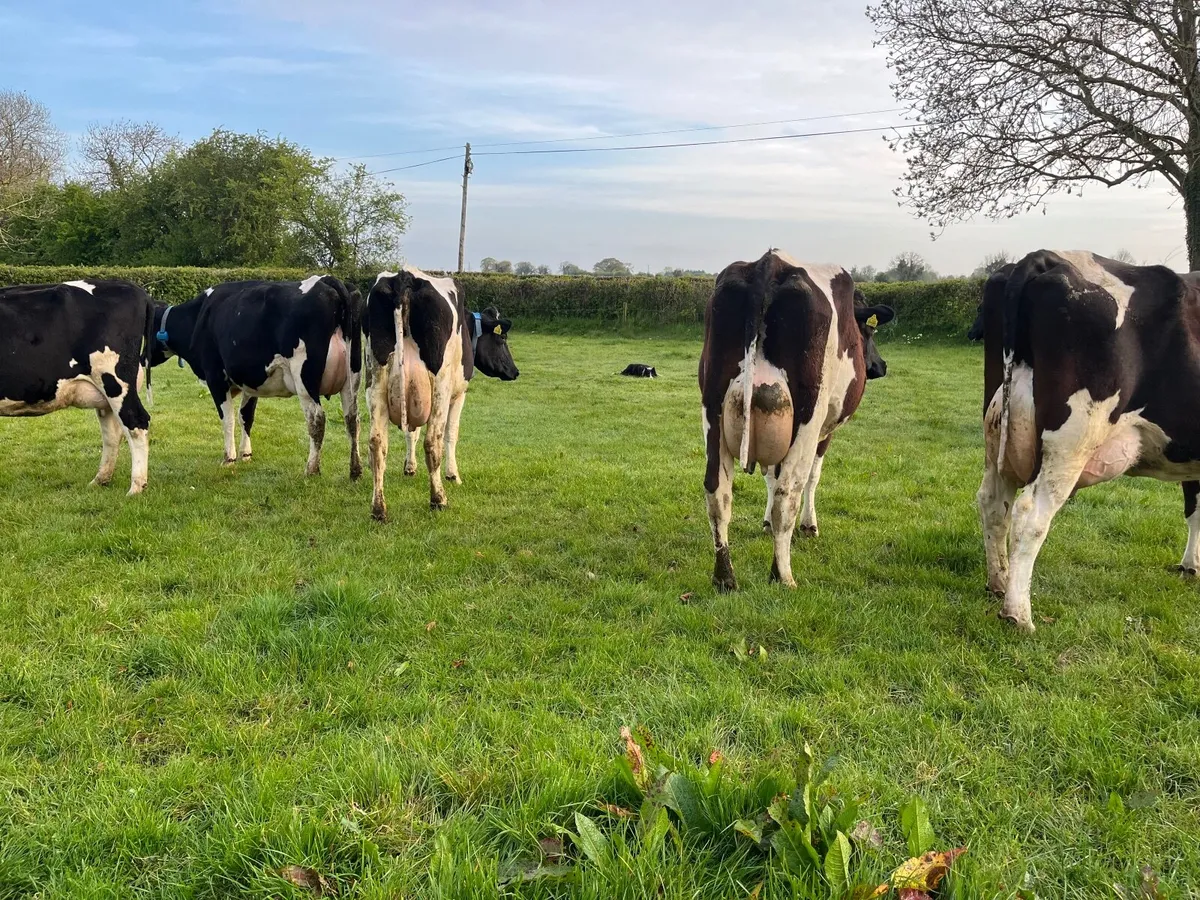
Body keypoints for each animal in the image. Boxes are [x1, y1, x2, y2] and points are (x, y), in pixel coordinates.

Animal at [0, 279, 154, 494]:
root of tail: (134, 288)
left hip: (115, 380)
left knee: (137, 423)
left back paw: (136, 488)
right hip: (106, 394)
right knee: (112, 433)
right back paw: (100, 480)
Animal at [151, 275, 362, 478]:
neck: (198, 316)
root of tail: (325, 280)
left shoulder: (215, 377)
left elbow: (227, 419)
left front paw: (229, 459)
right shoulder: (250, 381)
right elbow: (246, 416)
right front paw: (246, 454)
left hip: (304, 378)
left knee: (317, 419)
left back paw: (311, 470)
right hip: (352, 377)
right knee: (352, 418)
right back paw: (355, 470)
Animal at [364, 268, 519, 520]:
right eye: (502, 338)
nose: (515, 371)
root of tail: (405, 276)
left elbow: (412, 433)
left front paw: (410, 467)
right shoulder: (458, 395)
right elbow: (451, 434)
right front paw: (453, 475)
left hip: (375, 383)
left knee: (377, 443)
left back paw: (379, 509)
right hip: (440, 389)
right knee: (432, 441)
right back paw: (438, 499)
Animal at [699, 250, 895, 590]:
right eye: (869, 332)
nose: (880, 365)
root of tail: (769, 264)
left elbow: (768, 476)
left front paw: (764, 522)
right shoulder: (825, 431)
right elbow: (812, 477)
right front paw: (809, 526)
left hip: (712, 408)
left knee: (718, 491)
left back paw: (725, 577)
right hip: (808, 417)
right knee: (787, 492)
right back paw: (782, 575)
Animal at [977, 250, 1200, 631]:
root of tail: (1046, 257)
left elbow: (1194, 507)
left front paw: (1190, 566)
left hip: (998, 436)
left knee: (993, 503)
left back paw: (1000, 583)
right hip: (1071, 442)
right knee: (1029, 515)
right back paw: (1018, 614)